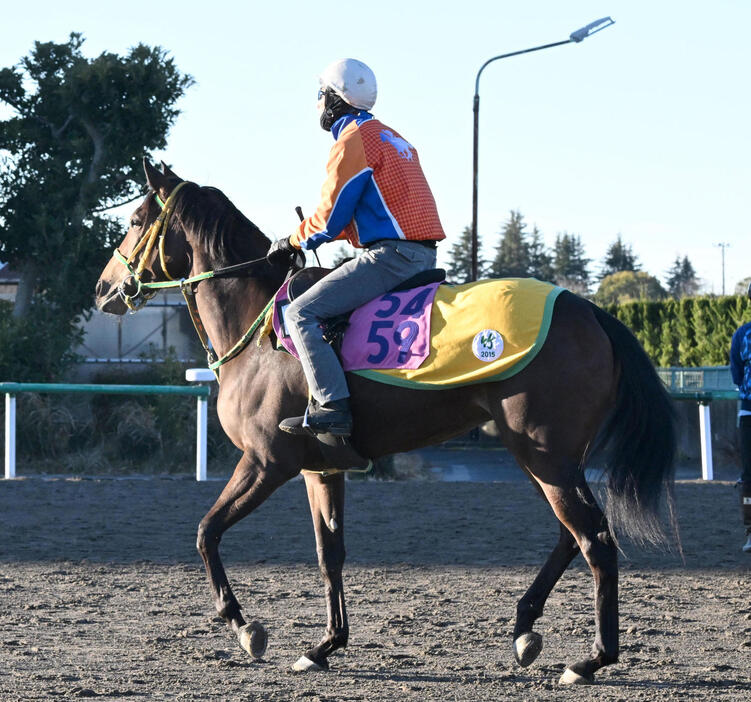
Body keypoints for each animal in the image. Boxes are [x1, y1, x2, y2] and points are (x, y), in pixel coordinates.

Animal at [95, 161, 680, 688]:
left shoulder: (265, 462)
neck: (262, 328)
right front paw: (325, 646)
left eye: (136, 217)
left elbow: (207, 532)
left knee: (595, 539)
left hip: (546, 457)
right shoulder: (320, 469)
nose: (103, 288)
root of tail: (589, 310)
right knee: (572, 535)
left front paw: (245, 627)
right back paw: (524, 628)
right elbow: (329, 554)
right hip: (547, 460)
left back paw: (591, 661)